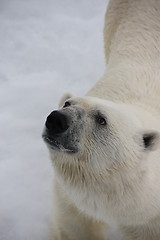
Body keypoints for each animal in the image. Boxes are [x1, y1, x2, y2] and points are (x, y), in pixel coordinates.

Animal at [42, 0, 160, 240]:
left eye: (101, 119)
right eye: (67, 104)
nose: (56, 120)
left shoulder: (148, 216)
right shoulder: (73, 200)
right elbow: (77, 228)